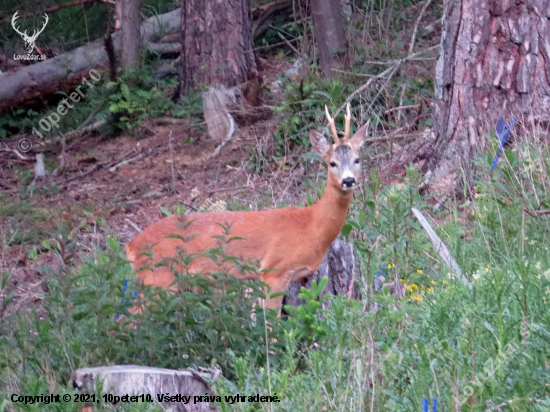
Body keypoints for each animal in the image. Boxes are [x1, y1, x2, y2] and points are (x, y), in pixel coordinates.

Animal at [126, 104, 368, 316]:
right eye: (332, 163)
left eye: (357, 159)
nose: (348, 180)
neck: (312, 225)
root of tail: (131, 246)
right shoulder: (272, 271)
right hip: (158, 278)